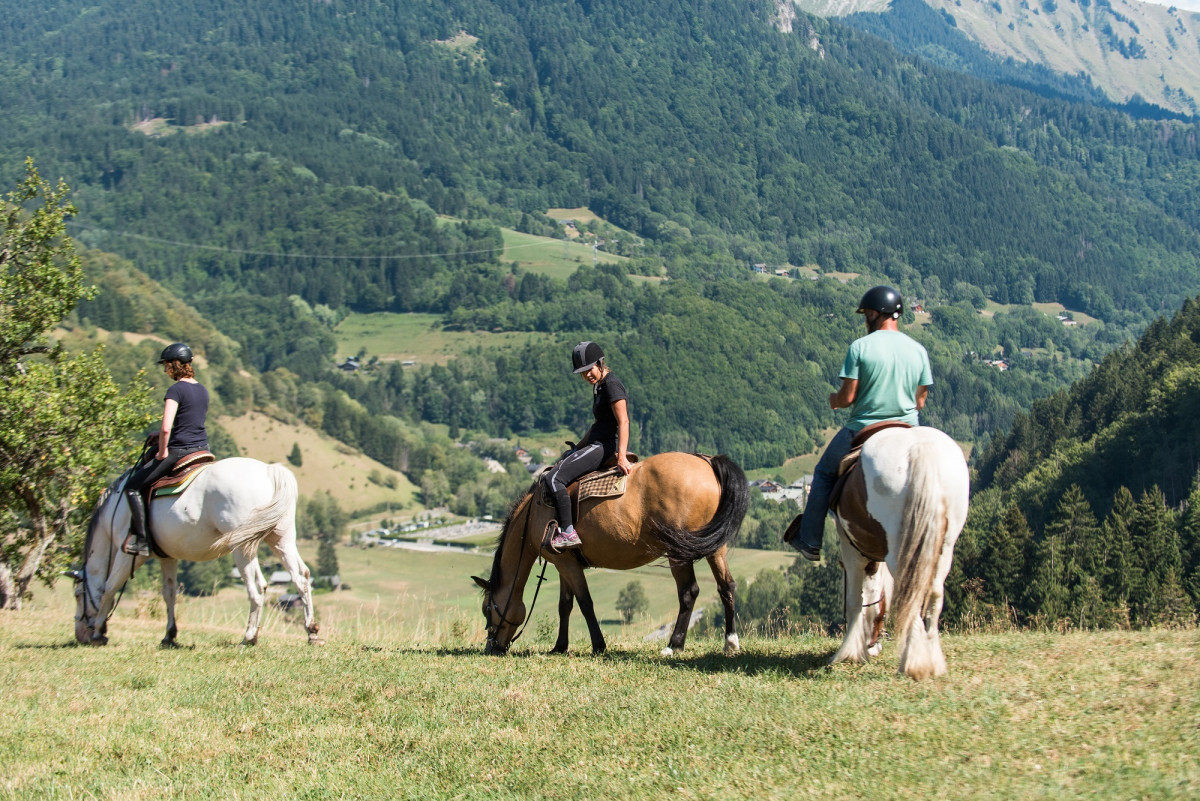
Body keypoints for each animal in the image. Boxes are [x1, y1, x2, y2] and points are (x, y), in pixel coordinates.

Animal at [72, 457, 322, 647]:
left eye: (77, 595)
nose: (80, 635)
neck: (114, 512)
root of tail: (269, 471)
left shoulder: (129, 555)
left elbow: (108, 587)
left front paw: (99, 632)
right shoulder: (167, 557)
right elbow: (169, 593)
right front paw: (169, 635)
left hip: (242, 547)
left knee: (257, 586)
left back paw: (249, 636)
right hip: (281, 539)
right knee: (301, 577)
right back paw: (311, 631)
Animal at [472, 452, 749, 656]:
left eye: (487, 609)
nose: (491, 647)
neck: (533, 515)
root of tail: (707, 462)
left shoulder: (565, 563)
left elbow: (585, 603)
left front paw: (598, 645)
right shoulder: (565, 563)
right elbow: (565, 605)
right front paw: (559, 647)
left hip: (678, 552)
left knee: (689, 592)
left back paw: (673, 645)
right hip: (716, 548)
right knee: (726, 586)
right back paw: (730, 641)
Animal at [828, 425, 969, 680]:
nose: (873, 645)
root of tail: (920, 447)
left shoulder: (851, 550)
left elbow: (855, 600)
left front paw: (848, 653)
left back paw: (913, 663)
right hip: (944, 547)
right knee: (933, 593)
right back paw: (931, 658)